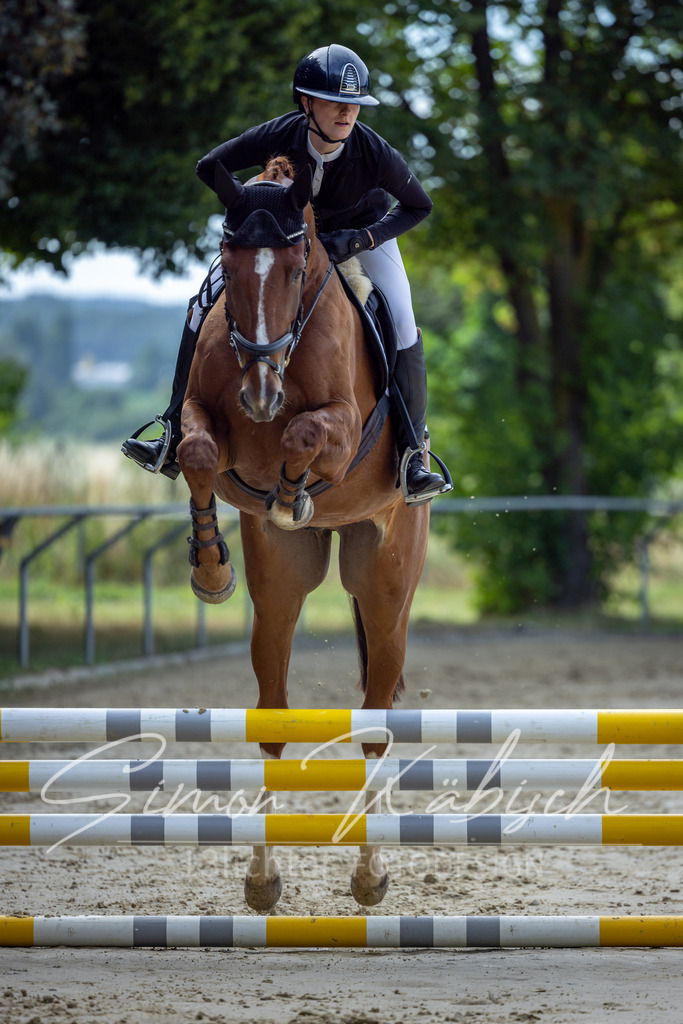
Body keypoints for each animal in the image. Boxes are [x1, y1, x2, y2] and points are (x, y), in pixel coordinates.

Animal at [177, 155, 430, 911]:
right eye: (229, 264)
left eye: (294, 270)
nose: (260, 393)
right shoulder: (202, 418)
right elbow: (197, 451)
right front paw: (210, 569)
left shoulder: (342, 430)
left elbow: (305, 433)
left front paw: (292, 488)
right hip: (281, 590)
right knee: (272, 719)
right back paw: (262, 880)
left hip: (386, 587)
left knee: (374, 728)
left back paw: (369, 876)